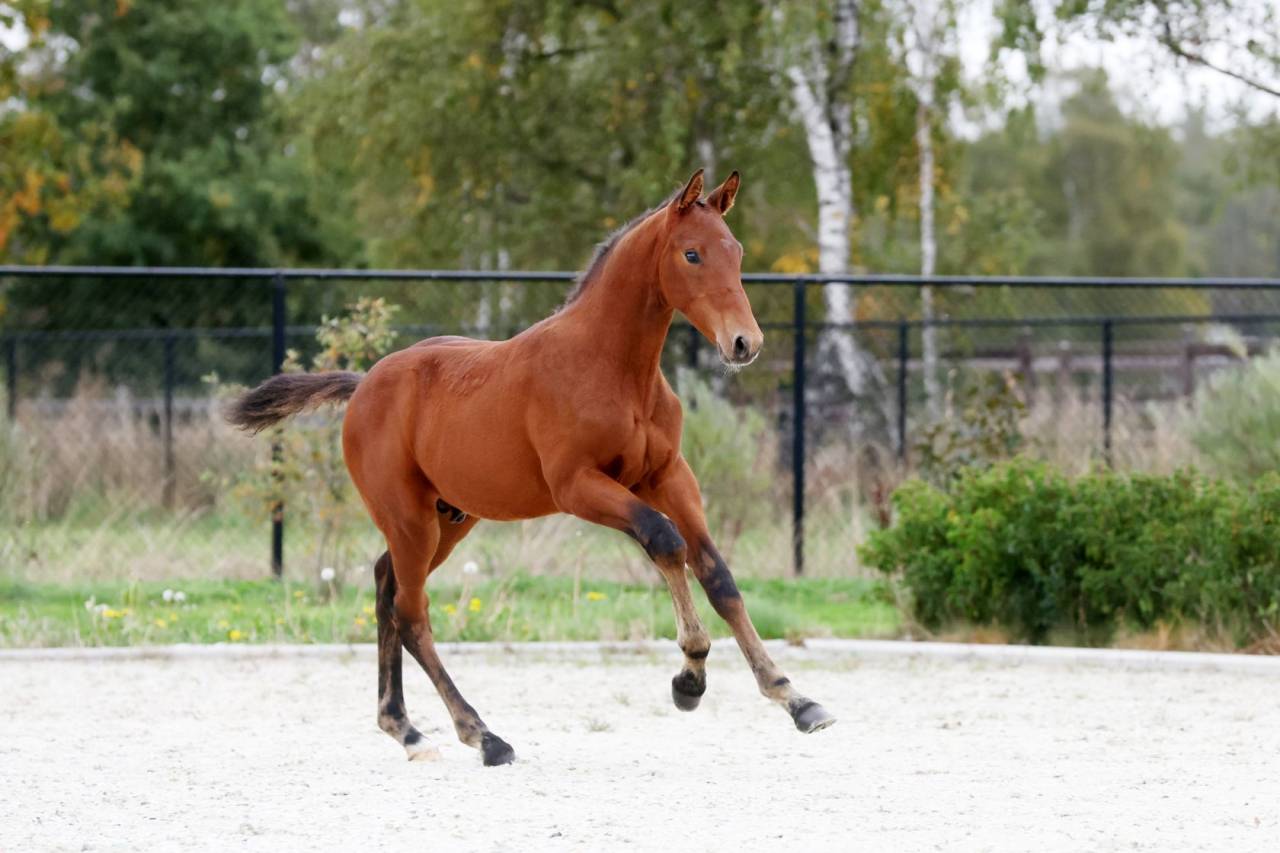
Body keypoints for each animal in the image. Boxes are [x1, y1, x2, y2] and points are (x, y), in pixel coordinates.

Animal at [228, 170, 835, 766]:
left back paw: (406, 729)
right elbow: (664, 541)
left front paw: (795, 698)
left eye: (735, 251)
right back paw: (481, 735)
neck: (613, 367)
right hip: (409, 518)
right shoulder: (578, 486)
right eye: (691, 254)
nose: (744, 342)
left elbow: (718, 576)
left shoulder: (668, 476)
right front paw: (690, 676)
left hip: (449, 517)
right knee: (411, 612)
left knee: (385, 584)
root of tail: (363, 387)